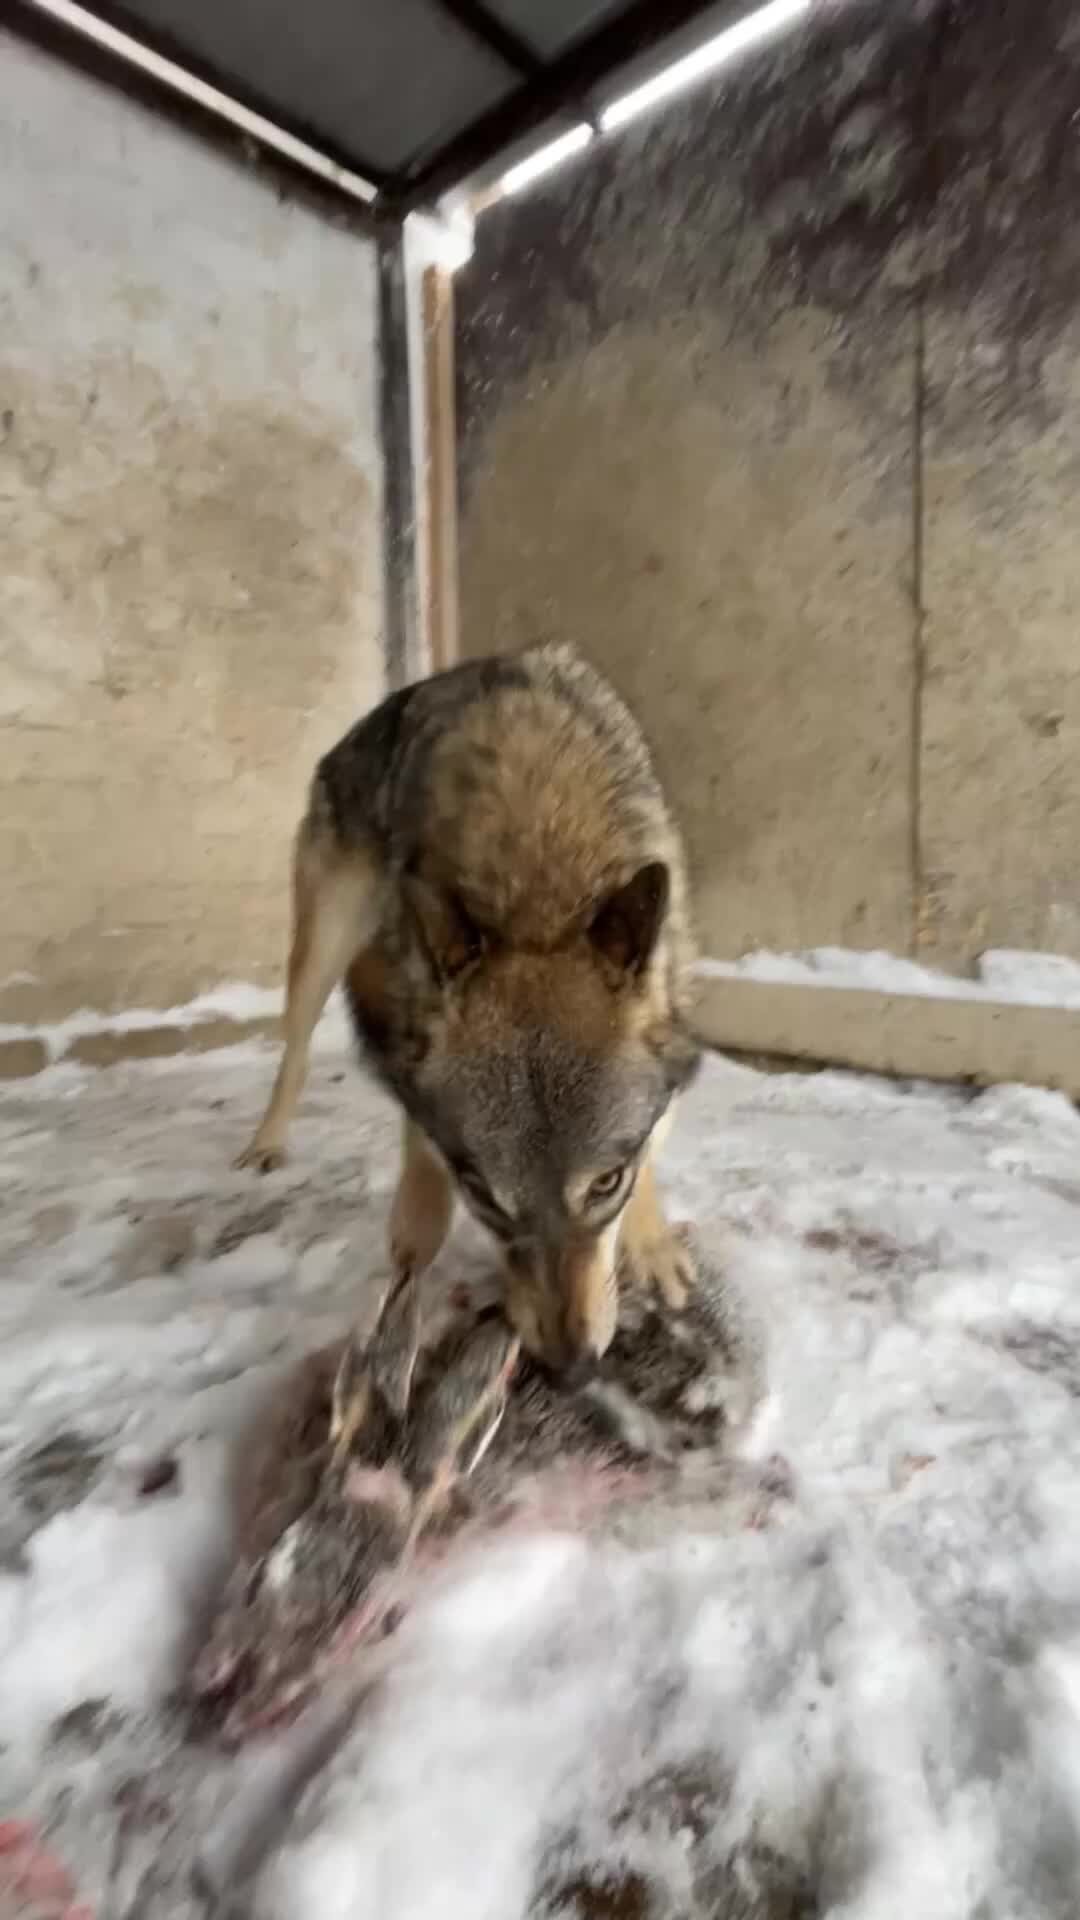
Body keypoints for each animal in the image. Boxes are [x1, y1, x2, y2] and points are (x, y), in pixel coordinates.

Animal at [237, 640, 702, 1374]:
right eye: (484, 1194)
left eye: (606, 1183)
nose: (570, 1368)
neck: (538, 882)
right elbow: (421, 1146)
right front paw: (413, 1245)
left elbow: (653, 1136)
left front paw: (651, 1247)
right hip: (325, 947)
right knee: (297, 1048)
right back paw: (266, 1145)